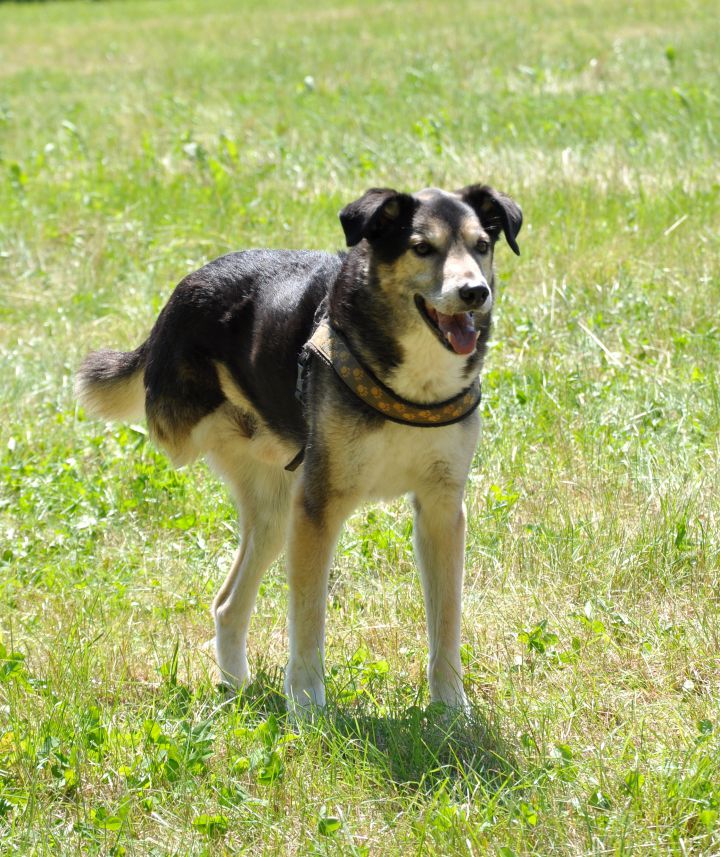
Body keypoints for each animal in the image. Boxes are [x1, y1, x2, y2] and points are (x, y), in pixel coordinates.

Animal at [74, 187, 524, 716]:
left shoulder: (442, 509)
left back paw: (235, 686)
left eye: (481, 245)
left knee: (227, 603)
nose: (475, 292)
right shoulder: (319, 509)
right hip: (210, 444)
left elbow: (446, 620)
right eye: (422, 248)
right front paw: (308, 705)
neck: (415, 385)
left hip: (276, 516)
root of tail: (184, 289)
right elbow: (308, 618)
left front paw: (451, 705)